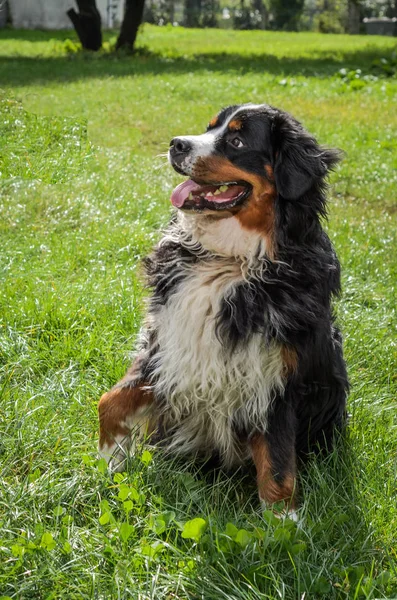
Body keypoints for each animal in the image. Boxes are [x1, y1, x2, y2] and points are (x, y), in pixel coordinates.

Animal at [96, 104, 346, 520]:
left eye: (237, 141)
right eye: (208, 128)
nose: (176, 144)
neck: (229, 260)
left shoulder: (274, 379)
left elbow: (279, 466)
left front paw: (284, 524)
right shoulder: (167, 346)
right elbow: (110, 401)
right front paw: (110, 459)